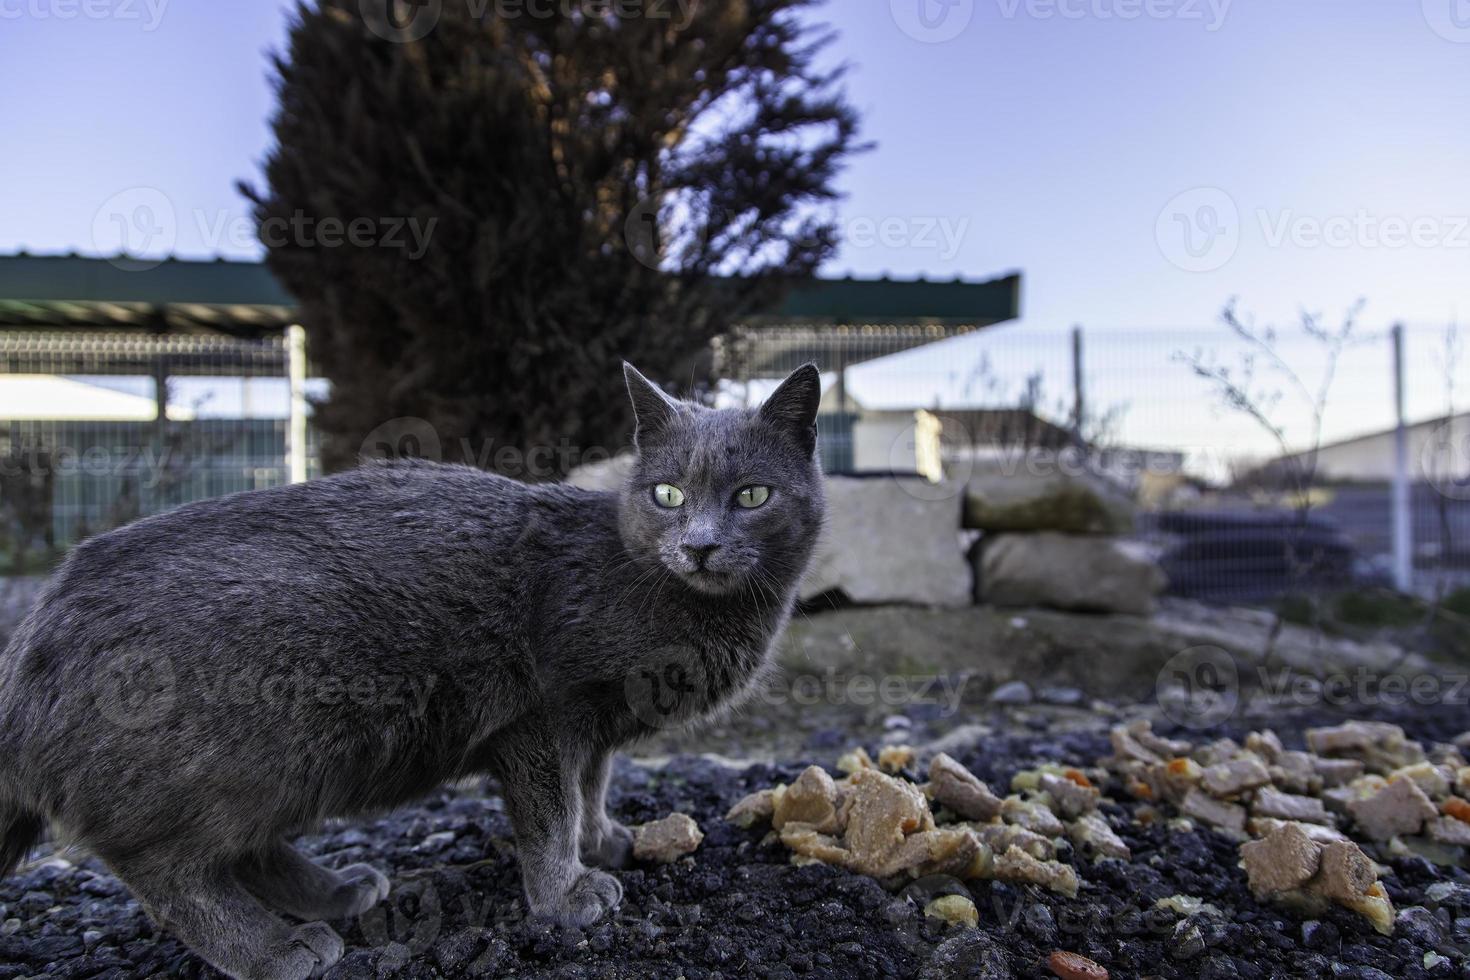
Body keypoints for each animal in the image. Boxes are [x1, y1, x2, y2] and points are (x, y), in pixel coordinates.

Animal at [0, 364, 829, 980]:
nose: (699, 545)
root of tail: (29, 642)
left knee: (245, 850)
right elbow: (552, 811)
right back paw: (272, 947)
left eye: (752, 495)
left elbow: (592, 785)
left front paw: (603, 840)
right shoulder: (540, 721)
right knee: (165, 870)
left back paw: (338, 893)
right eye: (668, 494)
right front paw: (563, 895)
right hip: (249, 744)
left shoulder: (593, 724)